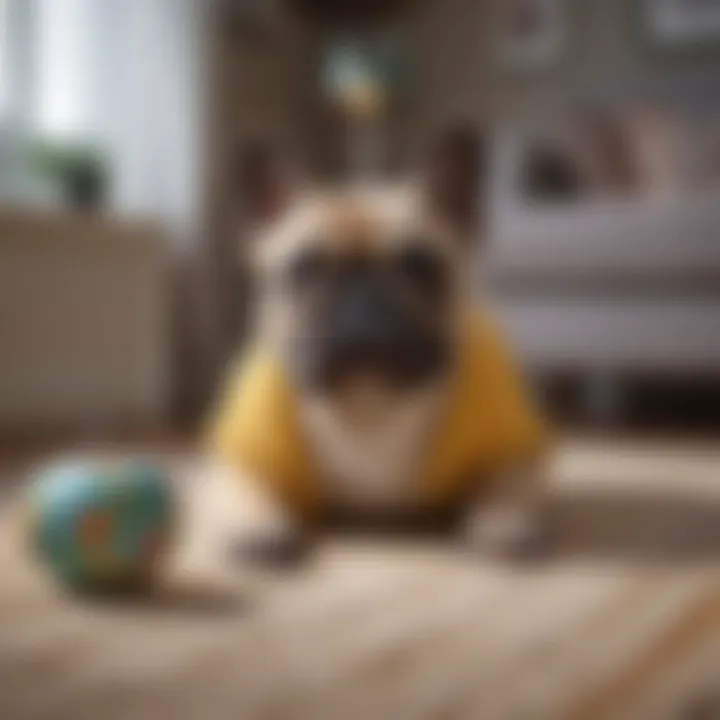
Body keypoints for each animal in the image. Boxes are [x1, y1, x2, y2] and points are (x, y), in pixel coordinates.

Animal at [205, 131, 548, 568]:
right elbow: (247, 487)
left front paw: (506, 523)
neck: (369, 402)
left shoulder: (514, 451)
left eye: (421, 265)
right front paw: (257, 526)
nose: (362, 295)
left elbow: (507, 486)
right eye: (303, 268)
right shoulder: (240, 457)